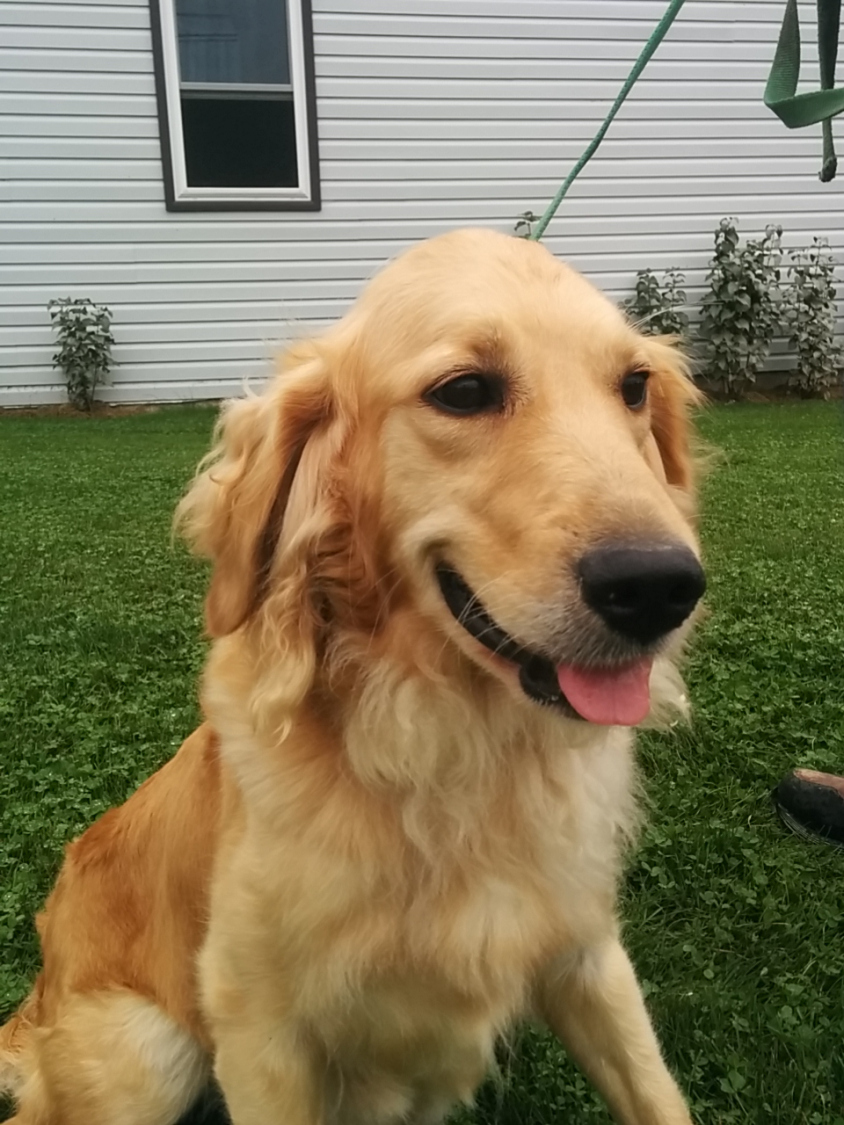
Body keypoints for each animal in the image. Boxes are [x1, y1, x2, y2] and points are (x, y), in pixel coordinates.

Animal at [0, 228, 705, 1125]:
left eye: (634, 386)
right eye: (465, 390)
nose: (660, 586)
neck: (457, 751)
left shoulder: (588, 954)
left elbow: (656, 1093)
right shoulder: (260, 1035)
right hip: (148, 1055)